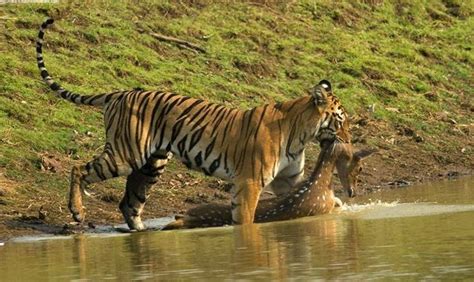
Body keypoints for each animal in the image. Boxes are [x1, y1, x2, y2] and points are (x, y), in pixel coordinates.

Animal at [36, 17, 348, 229]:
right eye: (341, 120)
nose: (347, 138)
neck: (301, 135)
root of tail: (119, 92)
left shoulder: (288, 182)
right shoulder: (248, 183)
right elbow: (246, 220)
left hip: (151, 164)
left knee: (129, 201)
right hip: (125, 154)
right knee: (79, 169)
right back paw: (77, 211)